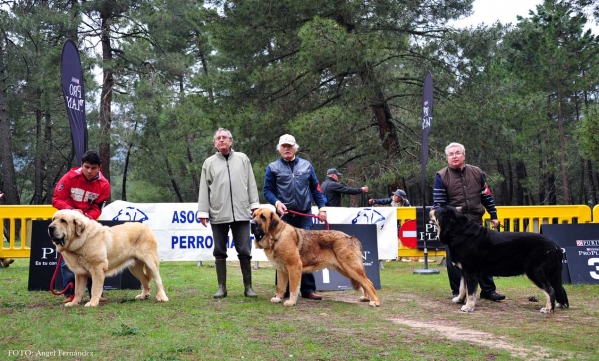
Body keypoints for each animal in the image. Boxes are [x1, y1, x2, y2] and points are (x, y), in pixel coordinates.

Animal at [251, 207, 382, 306]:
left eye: (263, 217)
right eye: (253, 216)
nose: (251, 224)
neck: (276, 236)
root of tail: (351, 237)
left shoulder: (294, 266)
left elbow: (293, 287)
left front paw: (291, 302)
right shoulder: (281, 270)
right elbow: (281, 287)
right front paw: (278, 298)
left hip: (351, 268)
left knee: (368, 282)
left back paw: (375, 301)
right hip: (345, 269)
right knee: (364, 282)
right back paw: (366, 298)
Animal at [432, 205, 568, 312]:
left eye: (438, 210)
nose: (432, 207)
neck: (460, 232)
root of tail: (556, 246)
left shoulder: (471, 272)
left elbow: (470, 292)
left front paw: (468, 306)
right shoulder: (464, 271)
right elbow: (462, 288)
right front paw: (459, 299)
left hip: (535, 272)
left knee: (550, 290)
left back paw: (548, 309)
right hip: (551, 273)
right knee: (559, 288)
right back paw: (561, 305)